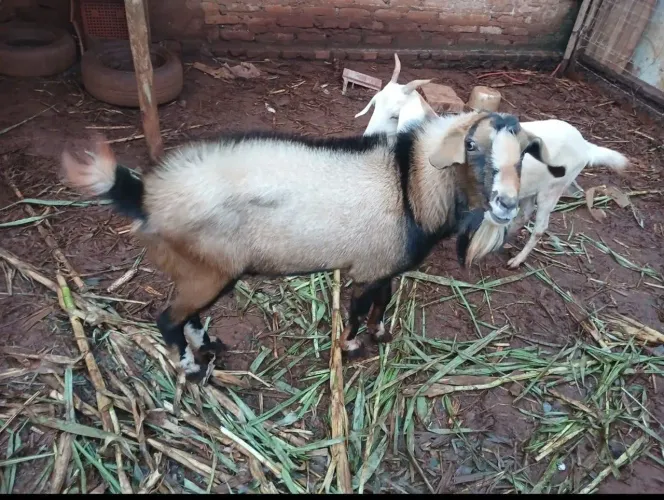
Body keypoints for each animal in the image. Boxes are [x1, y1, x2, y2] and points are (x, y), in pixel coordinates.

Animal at [61, 112, 562, 381]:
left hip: (203, 270)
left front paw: (381, 334)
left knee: (188, 315)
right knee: (166, 319)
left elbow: (384, 301)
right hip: (207, 271)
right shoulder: (367, 267)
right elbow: (357, 309)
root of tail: (146, 195)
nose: (506, 203)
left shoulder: (385, 266)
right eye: (472, 146)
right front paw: (350, 344)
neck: (411, 185)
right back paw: (191, 367)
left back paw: (211, 346)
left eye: (523, 154)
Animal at [464, 119, 628, 269]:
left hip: (553, 189)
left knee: (540, 227)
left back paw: (515, 261)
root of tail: (586, 146)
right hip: (530, 189)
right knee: (524, 214)